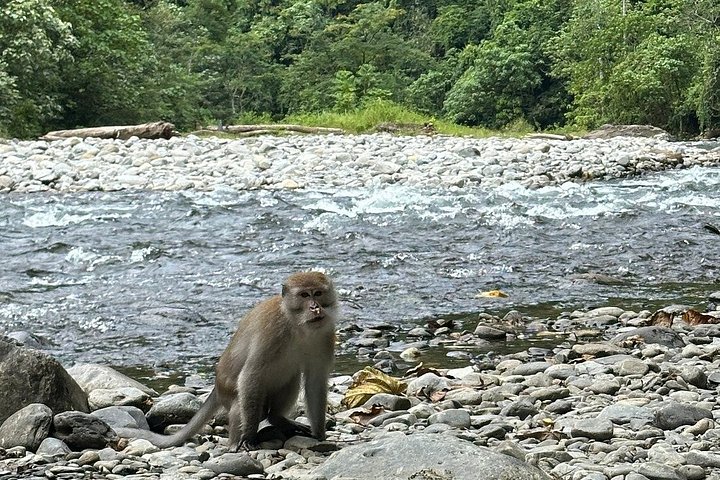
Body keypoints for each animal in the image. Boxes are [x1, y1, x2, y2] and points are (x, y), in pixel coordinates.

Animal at [116, 271, 338, 451]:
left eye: (318, 293)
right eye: (304, 295)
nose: (315, 308)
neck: (298, 326)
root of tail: (216, 386)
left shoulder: (326, 335)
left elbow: (315, 381)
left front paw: (319, 434)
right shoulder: (271, 332)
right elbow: (250, 376)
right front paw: (249, 436)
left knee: (291, 378)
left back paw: (278, 419)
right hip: (229, 392)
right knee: (242, 400)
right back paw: (235, 443)